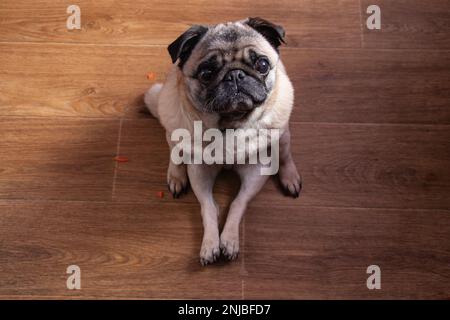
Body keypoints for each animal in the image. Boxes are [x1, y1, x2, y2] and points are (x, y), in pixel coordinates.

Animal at [146, 18, 300, 268]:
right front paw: (210, 244)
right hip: (170, 117)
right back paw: (176, 176)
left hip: (283, 132)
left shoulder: (257, 170)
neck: (230, 126)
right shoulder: (199, 171)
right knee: (174, 150)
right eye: (206, 73)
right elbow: (208, 207)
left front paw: (229, 240)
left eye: (262, 64)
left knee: (285, 154)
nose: (235, 75)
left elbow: (238, 202)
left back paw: (290, 177)